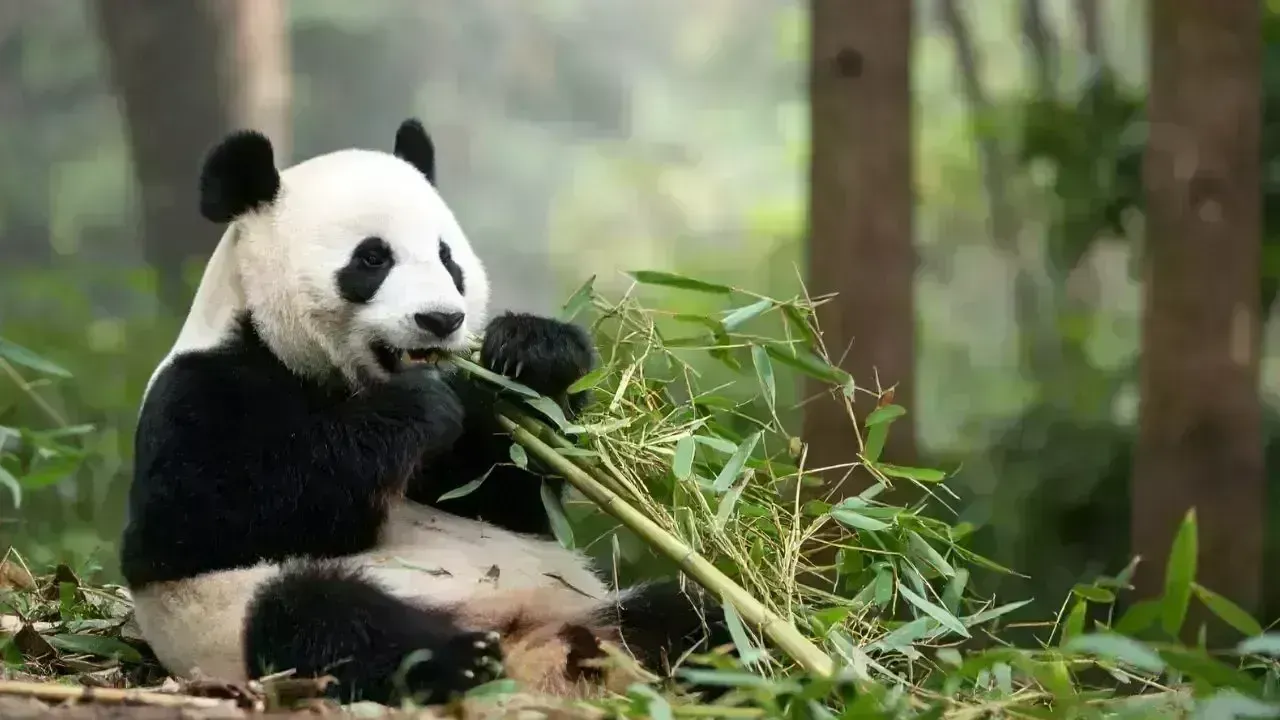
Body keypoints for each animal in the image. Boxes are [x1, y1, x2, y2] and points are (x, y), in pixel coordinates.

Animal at [120, 118, 734, 706]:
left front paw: (533, 353)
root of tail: (533, 648)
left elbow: (507, 494)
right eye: (372, 258)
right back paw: (461, 661)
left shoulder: (468, 458)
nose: (441, 319)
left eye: (447, 258)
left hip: (596, 609)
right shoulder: (202, 392)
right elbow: (202, 516)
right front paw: (417, 408)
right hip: (245, 620)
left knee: (692, 617)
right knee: (320, 618)